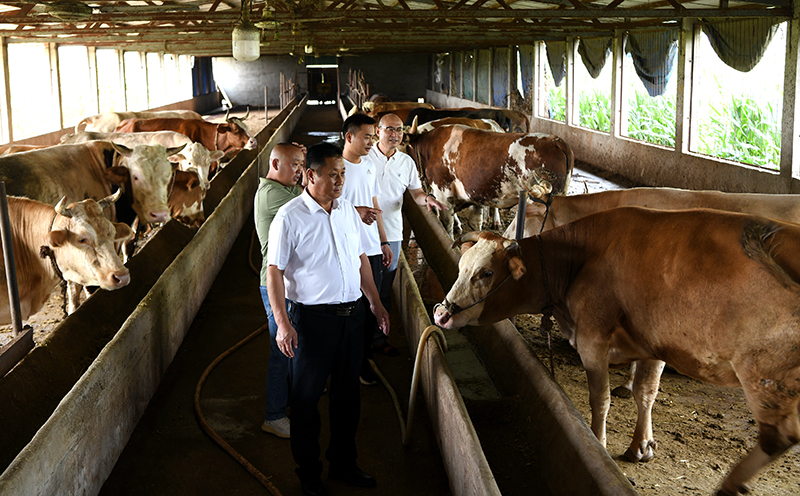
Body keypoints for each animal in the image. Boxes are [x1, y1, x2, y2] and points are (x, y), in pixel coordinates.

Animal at [406, 125, 576, 235]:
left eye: (407, 151)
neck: (435, 146)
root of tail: (556, 140)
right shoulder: (475, 195)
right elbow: (475, 224)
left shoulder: (443, 195)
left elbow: (447, 227)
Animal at [434, 207, 800, 494]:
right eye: (461, 267)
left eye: (486, 272)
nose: (441, 313)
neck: (578, 260)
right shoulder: (652, 344)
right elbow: (645, 392)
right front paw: (641, 445)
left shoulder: (593, 338)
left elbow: (602, 398)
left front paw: (599, 442)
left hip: (764, 375)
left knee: (779, 437)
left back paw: (732, 484)